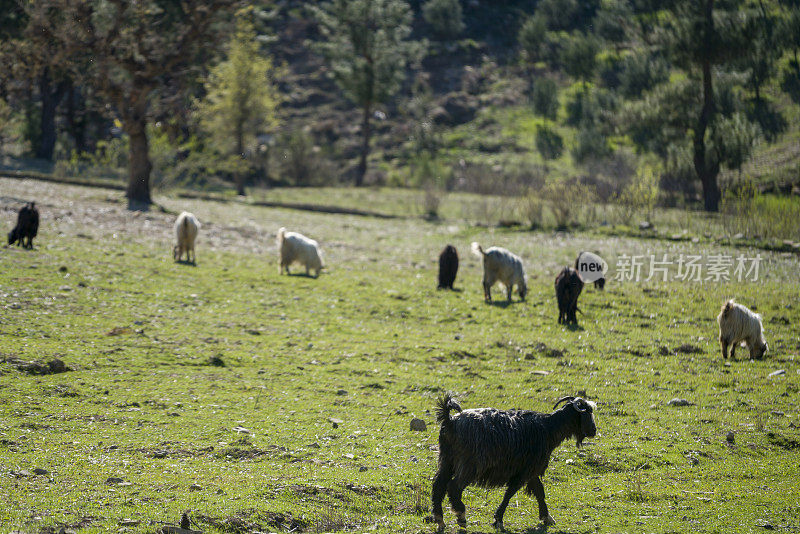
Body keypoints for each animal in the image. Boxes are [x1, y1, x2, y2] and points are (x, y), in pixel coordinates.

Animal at [434, 394, 596, 532]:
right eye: (587, 412)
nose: (593, 431)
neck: (548, 428)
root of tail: (450, 421)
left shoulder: (531, 469)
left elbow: (539, 491)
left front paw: (546, 517)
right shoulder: (525, 470)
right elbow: (510, 493)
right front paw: (498, 520)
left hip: (447, 460)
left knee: (438, 485)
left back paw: (440, 519)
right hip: (471, 464)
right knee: (454, 486)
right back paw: (461, 516)